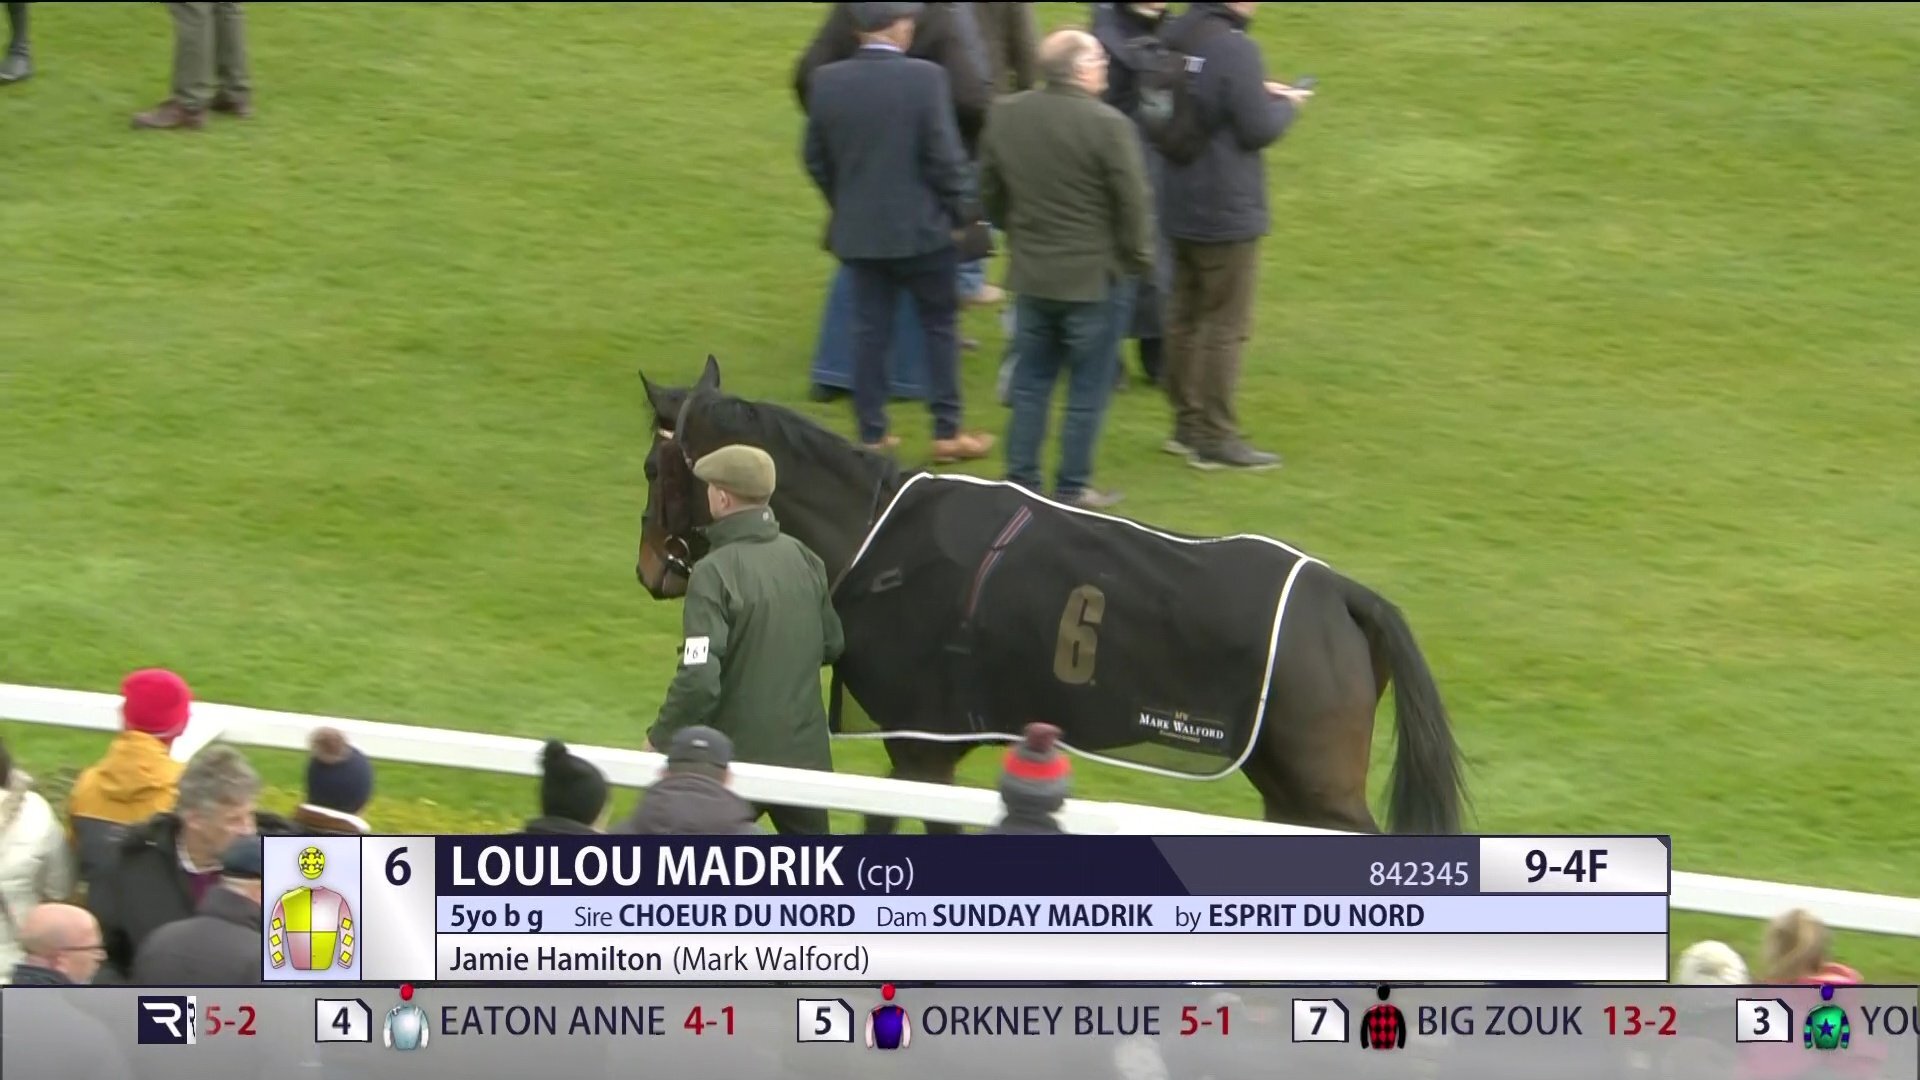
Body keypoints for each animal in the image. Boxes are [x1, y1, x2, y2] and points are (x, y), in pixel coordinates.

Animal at [634, 356, 1467, 836]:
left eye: (649, 467)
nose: (650, 568)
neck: (877, 534)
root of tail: (1343, 594)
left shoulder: (920, 747)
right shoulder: (931, 752)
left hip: (1317, 782)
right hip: (1285, 781)